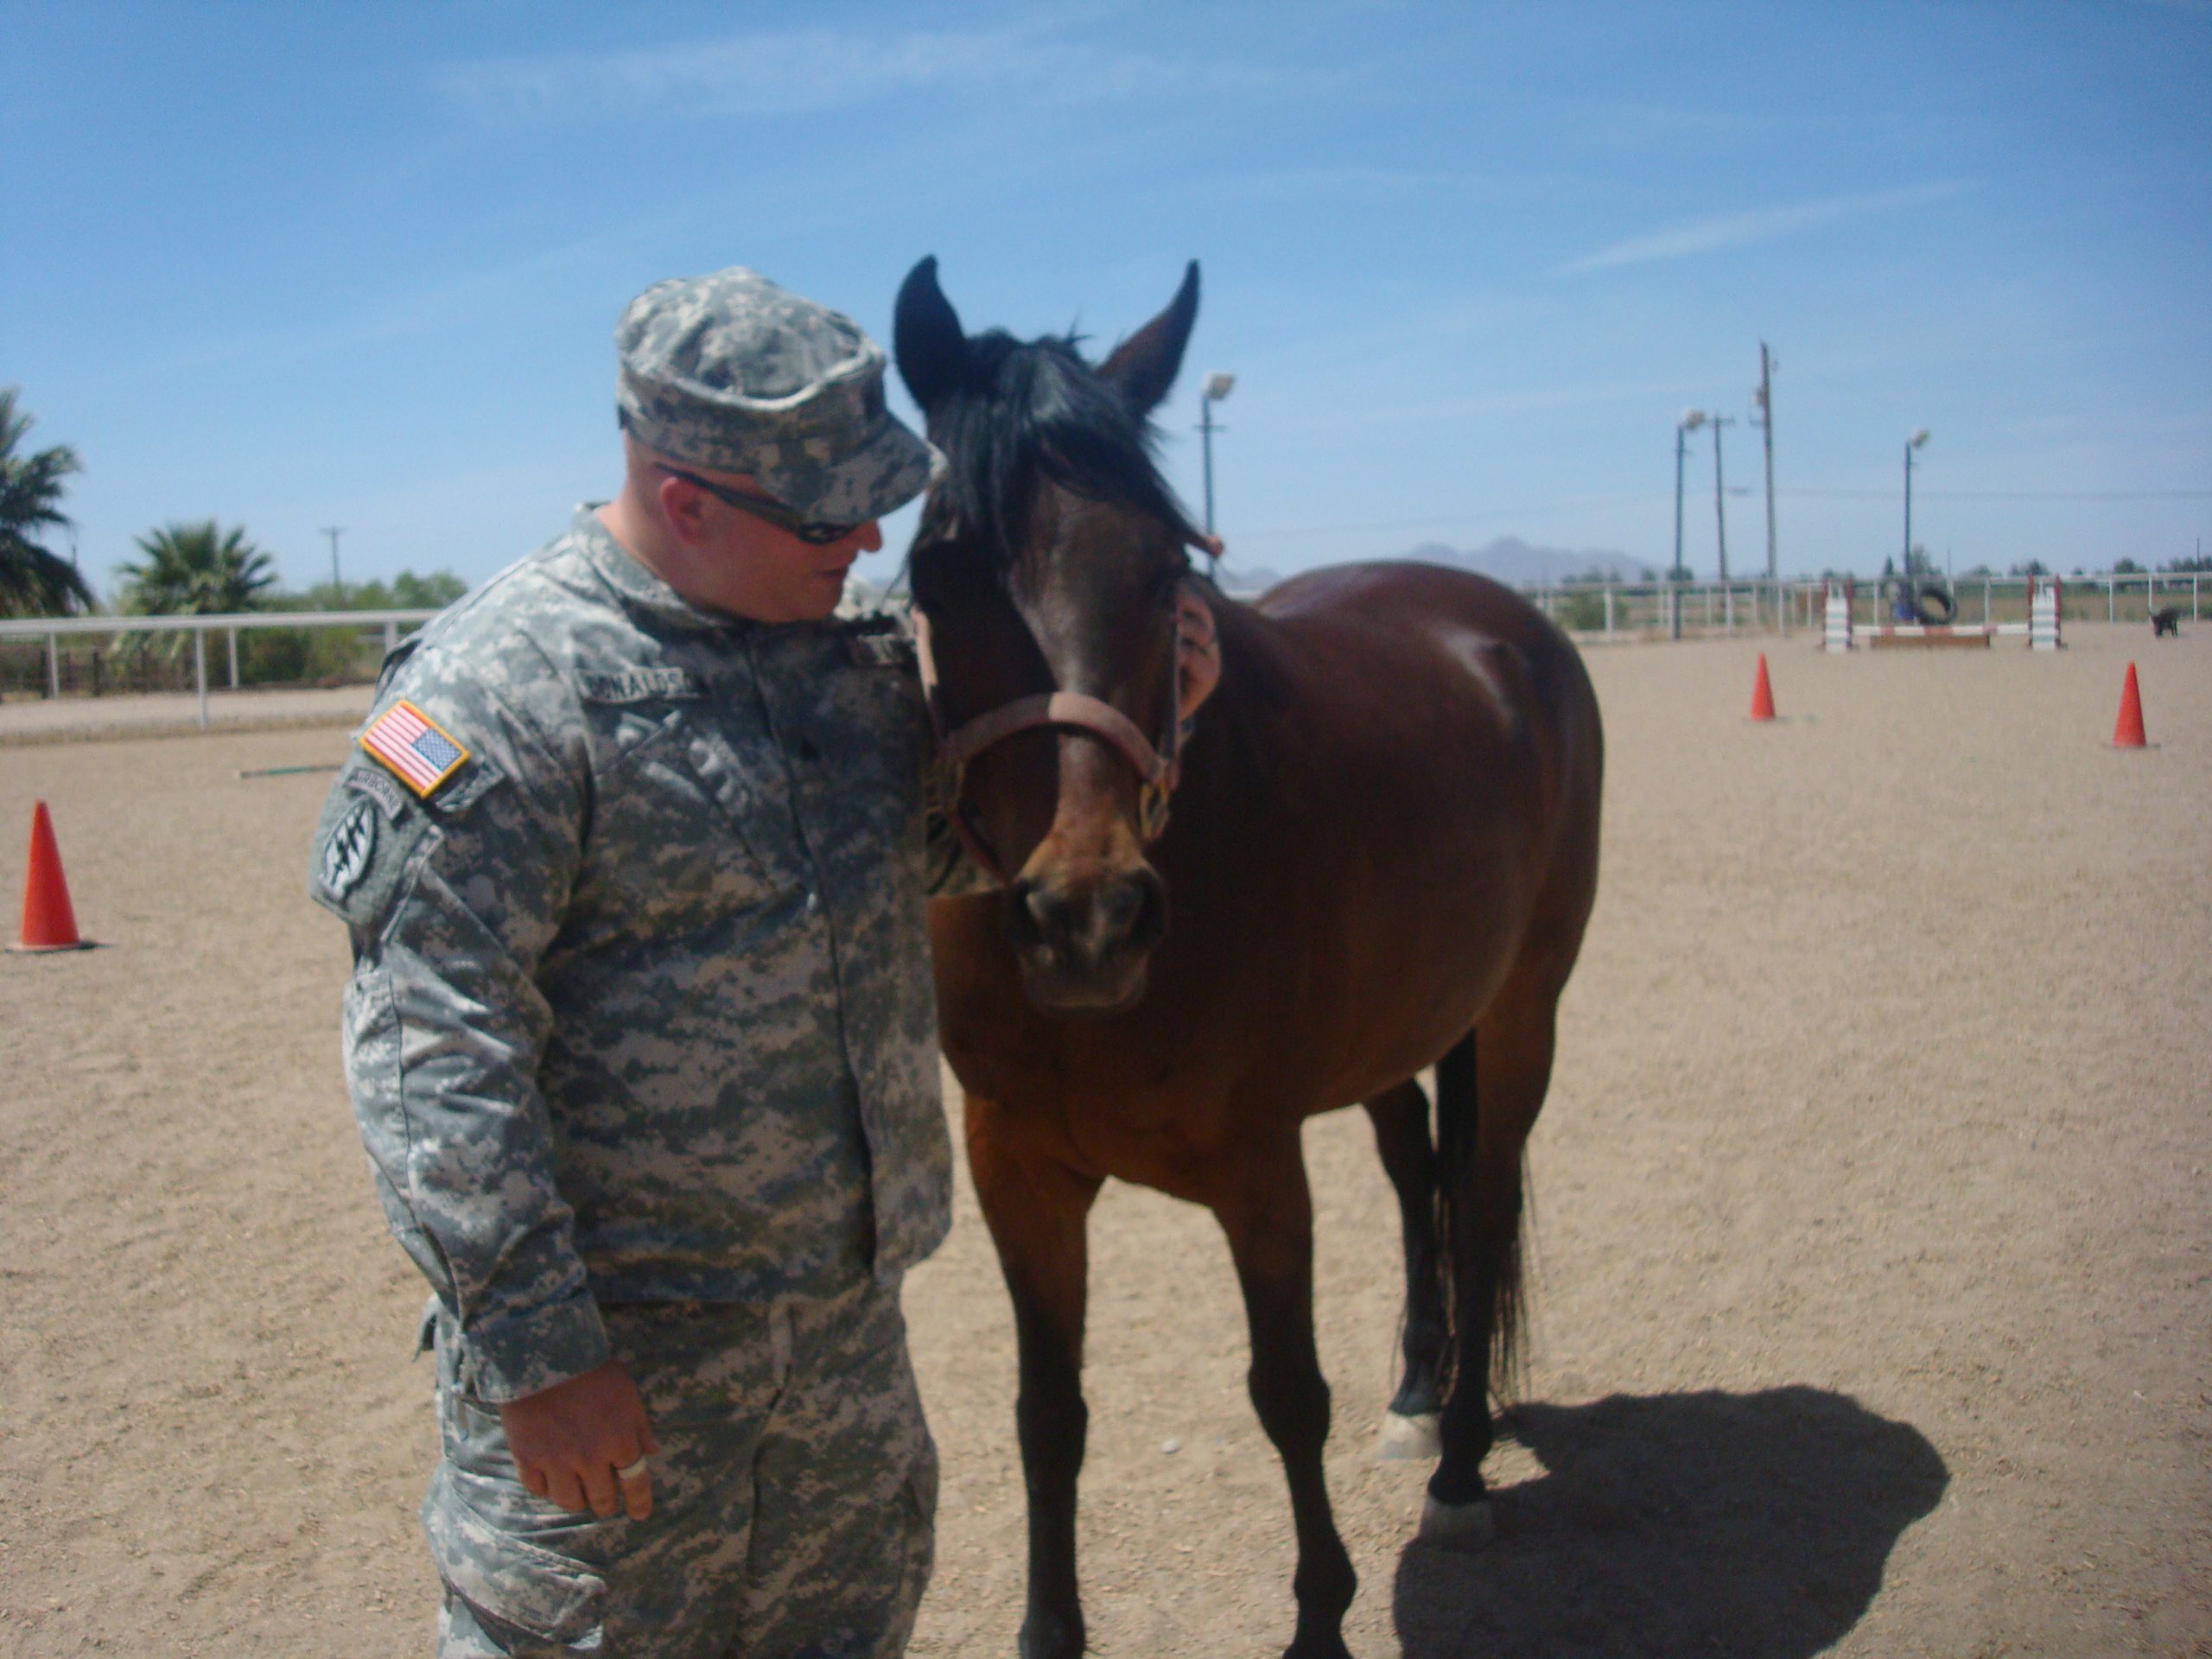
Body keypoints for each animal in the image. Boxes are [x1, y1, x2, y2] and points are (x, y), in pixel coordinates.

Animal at [889, 259, 1601, 1659]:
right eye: (942, 564)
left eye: (1167, 565)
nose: (1089, 916)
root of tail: (1507, 630)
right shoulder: (1019, 1170)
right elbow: (1047, 1418)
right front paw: (1050, 1631)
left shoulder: (1258, 1168)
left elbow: (1286, 1394)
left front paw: (1321, 1617)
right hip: (1401, 1031)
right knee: (1417, 1173)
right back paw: (1420, 1392)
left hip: (1520, 1014)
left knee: (1483, 1201)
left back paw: (1460, 1469)